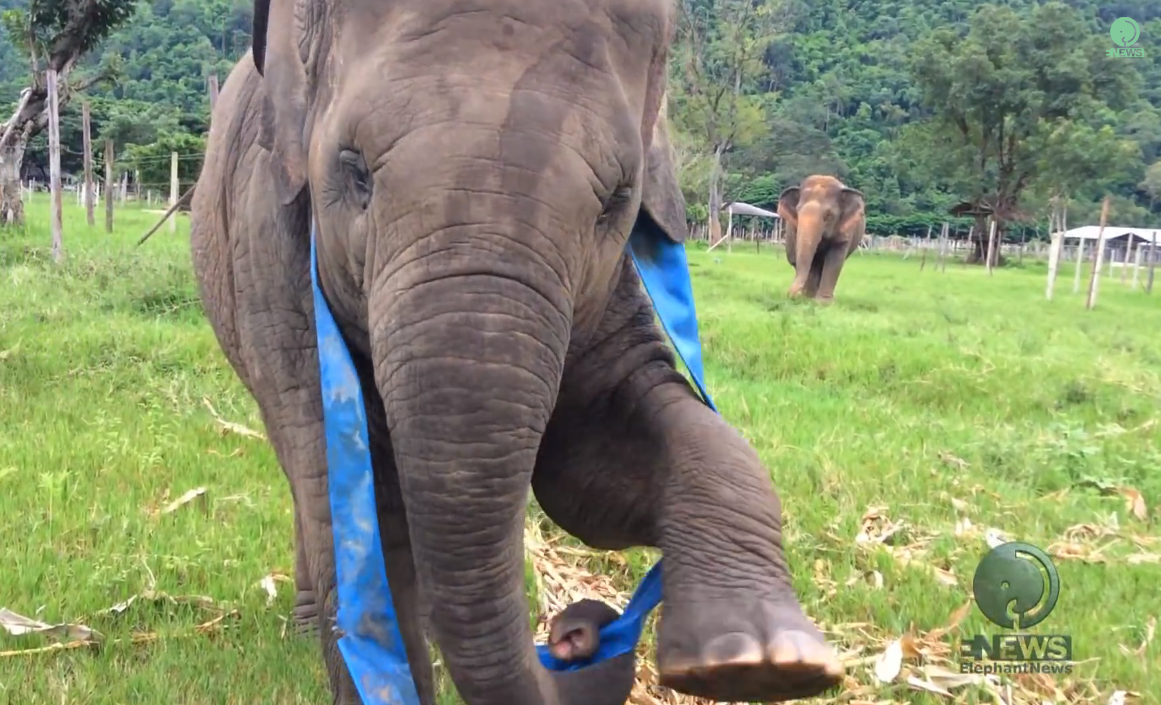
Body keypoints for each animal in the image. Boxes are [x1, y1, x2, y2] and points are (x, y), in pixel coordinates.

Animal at [189, 1, 844, 704]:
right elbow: (361, 501)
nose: (576, 632)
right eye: (355, 171)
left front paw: (764, 660)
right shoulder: (268, 242)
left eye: (616, 201)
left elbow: (588, 469)